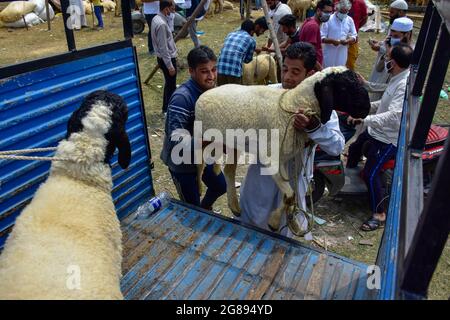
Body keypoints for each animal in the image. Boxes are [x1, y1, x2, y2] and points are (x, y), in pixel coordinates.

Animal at [196, 67, 370, 232]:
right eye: (343, 87)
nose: (366, 109)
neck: (293, 103)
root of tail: (207, 92)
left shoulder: (285, 160)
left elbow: (290, 196)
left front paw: (286, 223)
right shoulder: (271, 158)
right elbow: (290, 194)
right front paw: (274, 222)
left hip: (232, 143)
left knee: (229, 170)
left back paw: (235, 207)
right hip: (203, 135)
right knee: (199, 162)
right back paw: (199, 188)